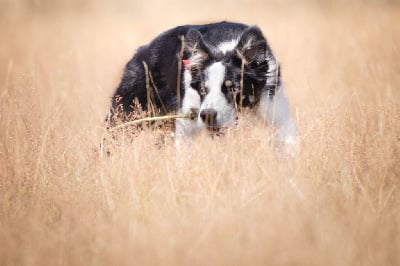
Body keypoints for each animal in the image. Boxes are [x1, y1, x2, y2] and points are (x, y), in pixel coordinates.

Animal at [109, 20, 296, 149]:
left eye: (234, 88)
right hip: (127, 112)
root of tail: (142, 51)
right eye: (203, 89)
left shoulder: (275, 108)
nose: (208, 115)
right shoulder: (187, 123)